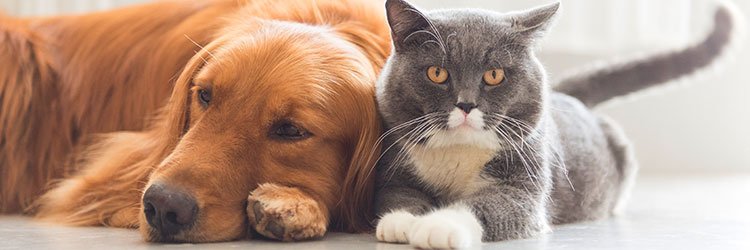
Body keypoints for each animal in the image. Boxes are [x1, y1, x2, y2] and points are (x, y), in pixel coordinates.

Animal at [376, 0, 740, 248]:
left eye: (494, 75)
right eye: (437, 73)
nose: (466, 104)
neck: (459, 151)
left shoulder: (525, 183)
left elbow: (487, 205)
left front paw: (438, 226)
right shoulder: (396, 166)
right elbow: (398, 194)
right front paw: (402, 222)